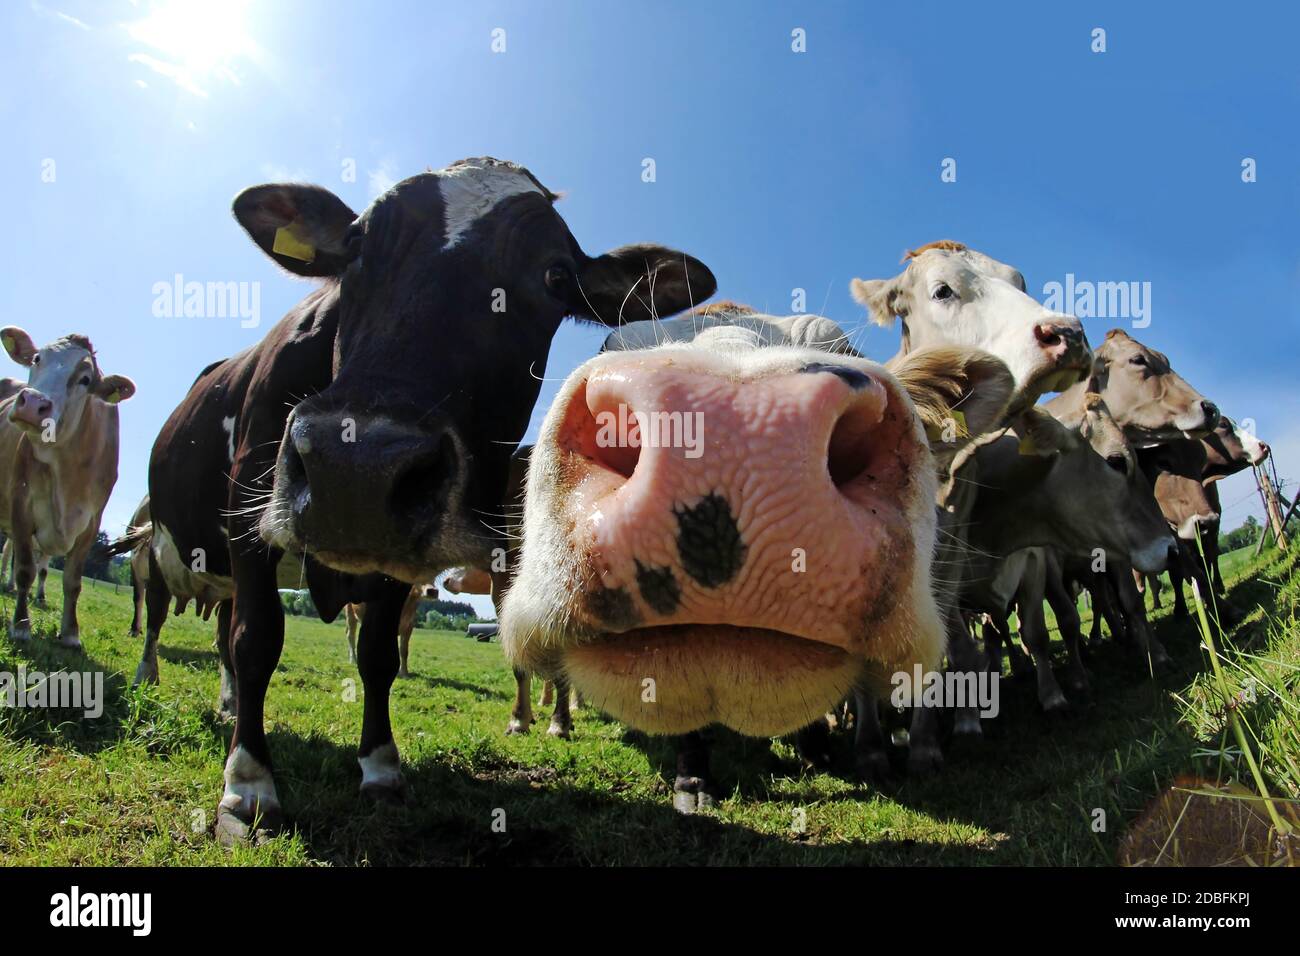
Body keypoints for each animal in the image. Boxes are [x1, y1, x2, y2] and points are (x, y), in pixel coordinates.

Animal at [0, 330, 135, 650]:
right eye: (37, 359)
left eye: (85, 379)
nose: (32, 403)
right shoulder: (20, 504)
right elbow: (25, 569)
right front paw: (21, 625)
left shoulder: (92, 522)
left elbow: (72, 581)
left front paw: (71, 633)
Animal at [141, 157, 712, 842]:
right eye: (357, 244)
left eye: (555, 277)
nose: (354, 470)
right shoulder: (247, 521)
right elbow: (257, 642)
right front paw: (248, 785)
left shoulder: (397, 555)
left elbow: (378, 657)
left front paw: (381, 769)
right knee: (174, 620)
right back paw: (157, 680)